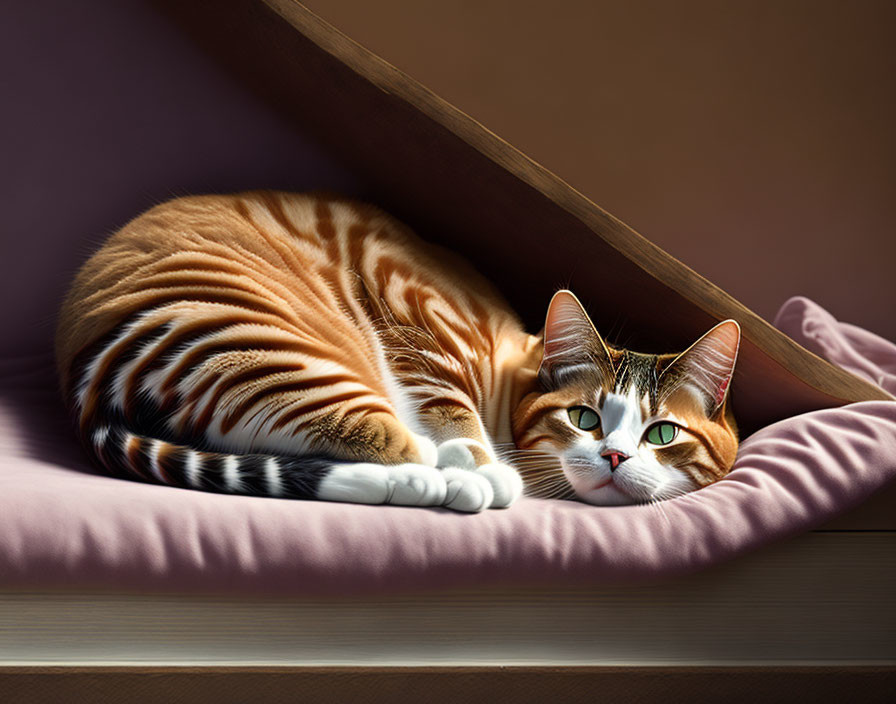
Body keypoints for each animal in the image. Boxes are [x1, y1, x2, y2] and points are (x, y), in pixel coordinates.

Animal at [57, 191, 744, 512]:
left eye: (662, 434)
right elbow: (449, 408)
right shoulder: (413, 315)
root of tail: (87, 384)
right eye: (585, 418)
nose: (614, 457)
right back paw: (466, 478)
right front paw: (481, 462)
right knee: (390, 438)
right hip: (279, 347)